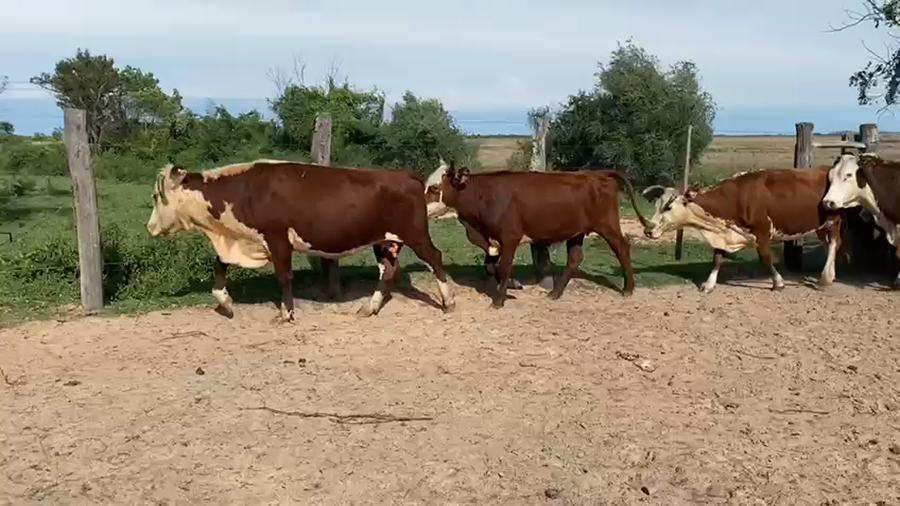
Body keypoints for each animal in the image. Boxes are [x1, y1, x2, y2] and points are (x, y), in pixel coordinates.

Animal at [145, 159, 456, 321]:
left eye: (157, 196)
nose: (150, 227)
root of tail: (404, 174)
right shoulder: (244, 240)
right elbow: (219, 264)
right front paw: (226, 302)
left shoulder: (277, 238)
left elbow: (284, 277)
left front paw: (287, 312)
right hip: (385, 241)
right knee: (388, 270)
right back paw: (371, 306)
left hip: (415, 234)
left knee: (435, 258)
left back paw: (448, 301)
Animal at [423, 161, 650, 308]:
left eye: (434, 188)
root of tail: (597, 174)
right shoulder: (492, 239)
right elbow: (490, 266)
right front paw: (512, 284)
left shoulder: (510, 237)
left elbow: (504, 266)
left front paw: (499, 299)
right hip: (576, 232)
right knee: (575, 259)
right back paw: (555, 293)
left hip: (608, 226)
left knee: (622, 248)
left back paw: (628, 288)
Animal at [641, 167, 845, 293]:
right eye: (656, 205)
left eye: (668, 207)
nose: (648, 231)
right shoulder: (723, 234)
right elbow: (717, 259)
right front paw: (709, 284)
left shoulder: (762, 232)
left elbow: (766, 259)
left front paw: (778, 282)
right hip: (819, 226)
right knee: (829, 245)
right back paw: (829, 274)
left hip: (834, 220)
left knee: (834, 242)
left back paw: (825, 278)